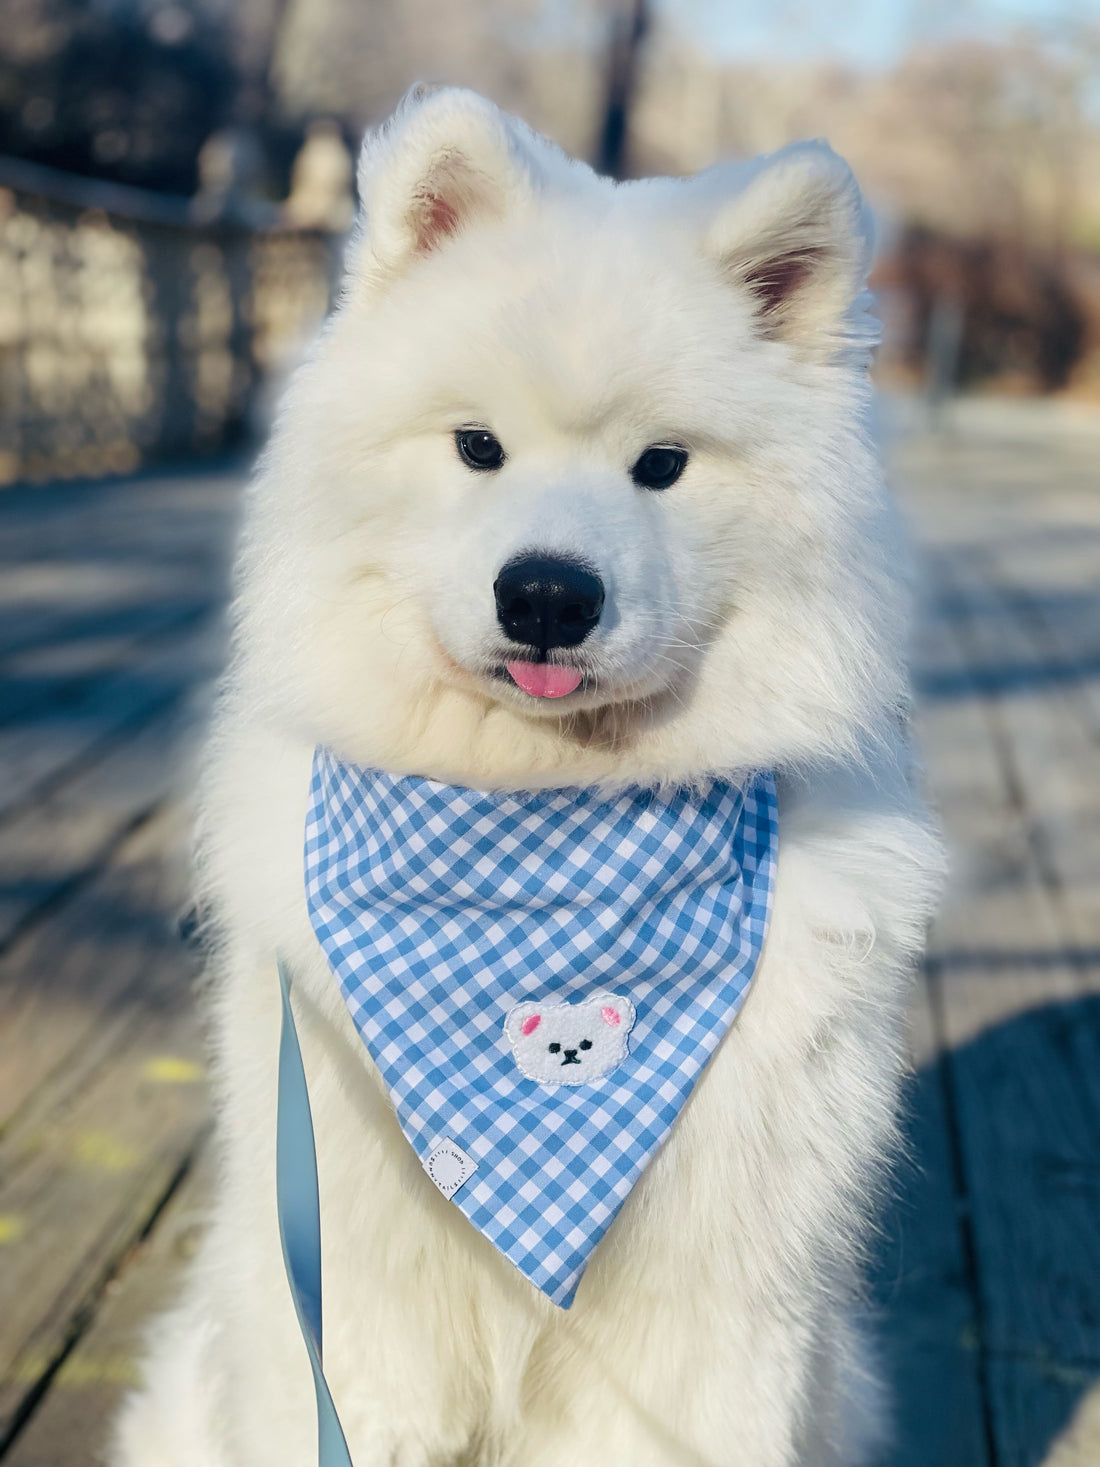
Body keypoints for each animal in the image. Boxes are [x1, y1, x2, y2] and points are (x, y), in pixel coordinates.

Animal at [118, 83, 950, 1467]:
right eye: (476, 447)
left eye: (661, 465)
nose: (549, 594)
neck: (535, 822)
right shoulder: (361, 1306)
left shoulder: (706, 1314)